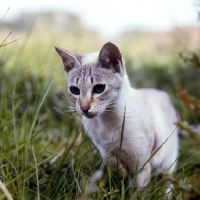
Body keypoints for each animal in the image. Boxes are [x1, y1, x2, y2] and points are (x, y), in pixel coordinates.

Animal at [54, 41, 178, 188]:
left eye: (99, 88)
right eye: (75, 90)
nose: (84, 108)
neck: (106, 119)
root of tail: (163, 94)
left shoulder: (141, 160)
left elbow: (139, 185)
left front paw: (133, 190)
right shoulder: (102, 147)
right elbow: (112, 161)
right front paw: (121, 172)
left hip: (168, 163)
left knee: (167, 182)